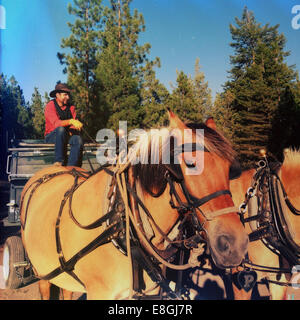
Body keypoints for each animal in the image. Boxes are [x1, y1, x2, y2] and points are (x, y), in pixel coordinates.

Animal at [19, 110, 248, 300]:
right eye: (190, 164)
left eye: (228, 168)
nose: (235, 245)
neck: (121, 220)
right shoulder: (100, 293)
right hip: (42, 271)